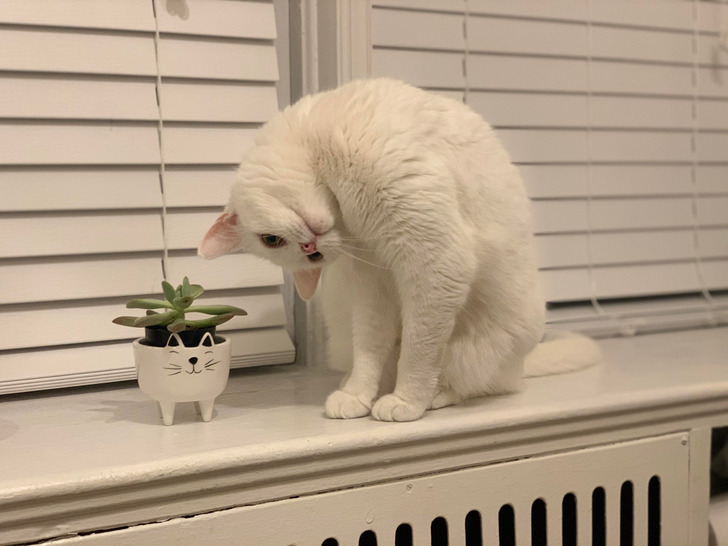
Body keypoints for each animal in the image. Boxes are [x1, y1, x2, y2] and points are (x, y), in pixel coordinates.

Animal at [198, 78, 601, 422]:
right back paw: (353, 385)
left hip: (477, 350)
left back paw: (434, 395)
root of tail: (520, 365)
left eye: (271, 240)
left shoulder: (435, 262)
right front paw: (358, 396)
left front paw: (407, 400)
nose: (311, 246)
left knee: (475, 383)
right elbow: (370, 348)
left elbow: (418, 350)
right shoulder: (373, 284)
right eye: (310, 257)